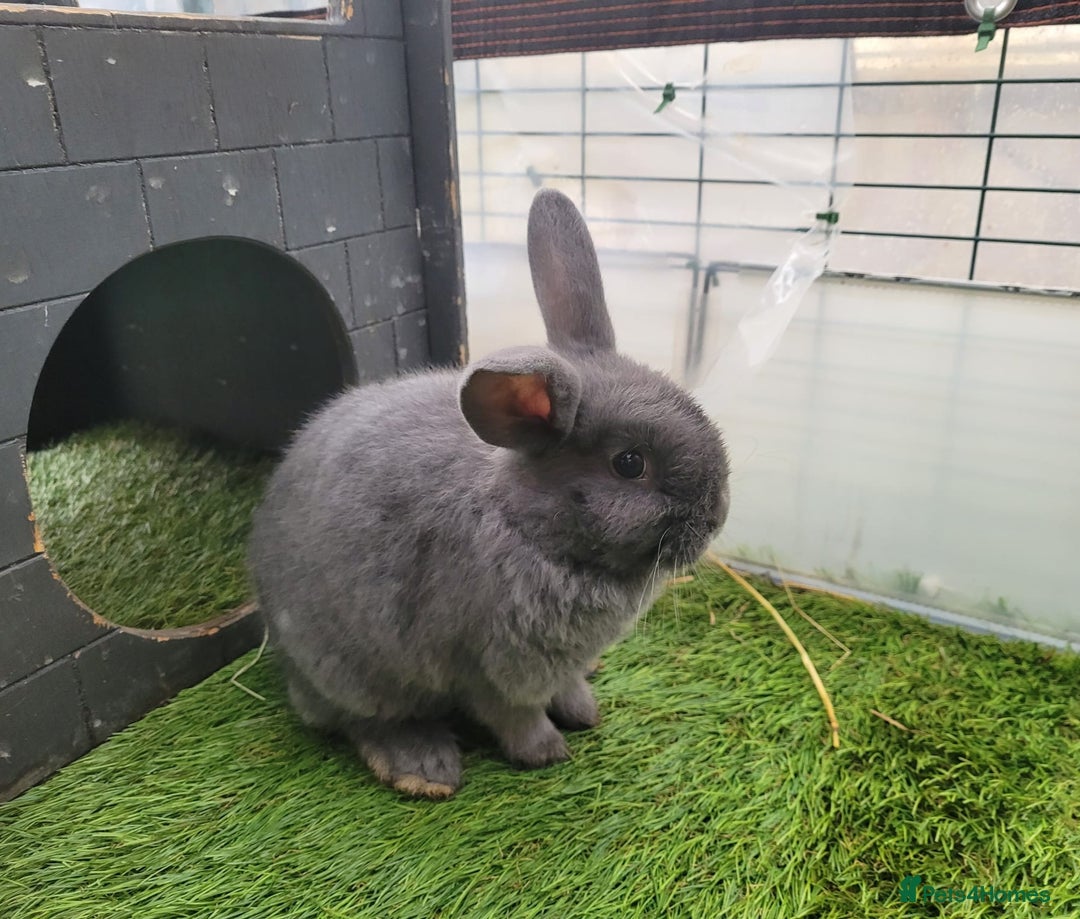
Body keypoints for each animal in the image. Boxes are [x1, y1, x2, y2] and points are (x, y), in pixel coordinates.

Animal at [248, 188, 730, 799]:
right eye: (629, 464)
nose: (716, 516)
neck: (529, 529)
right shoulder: (488, 666)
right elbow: (512, 715)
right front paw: (546, 752)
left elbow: (565, 686)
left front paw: (585, 710)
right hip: (353, 674)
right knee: (361, 720)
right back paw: (424, 769)